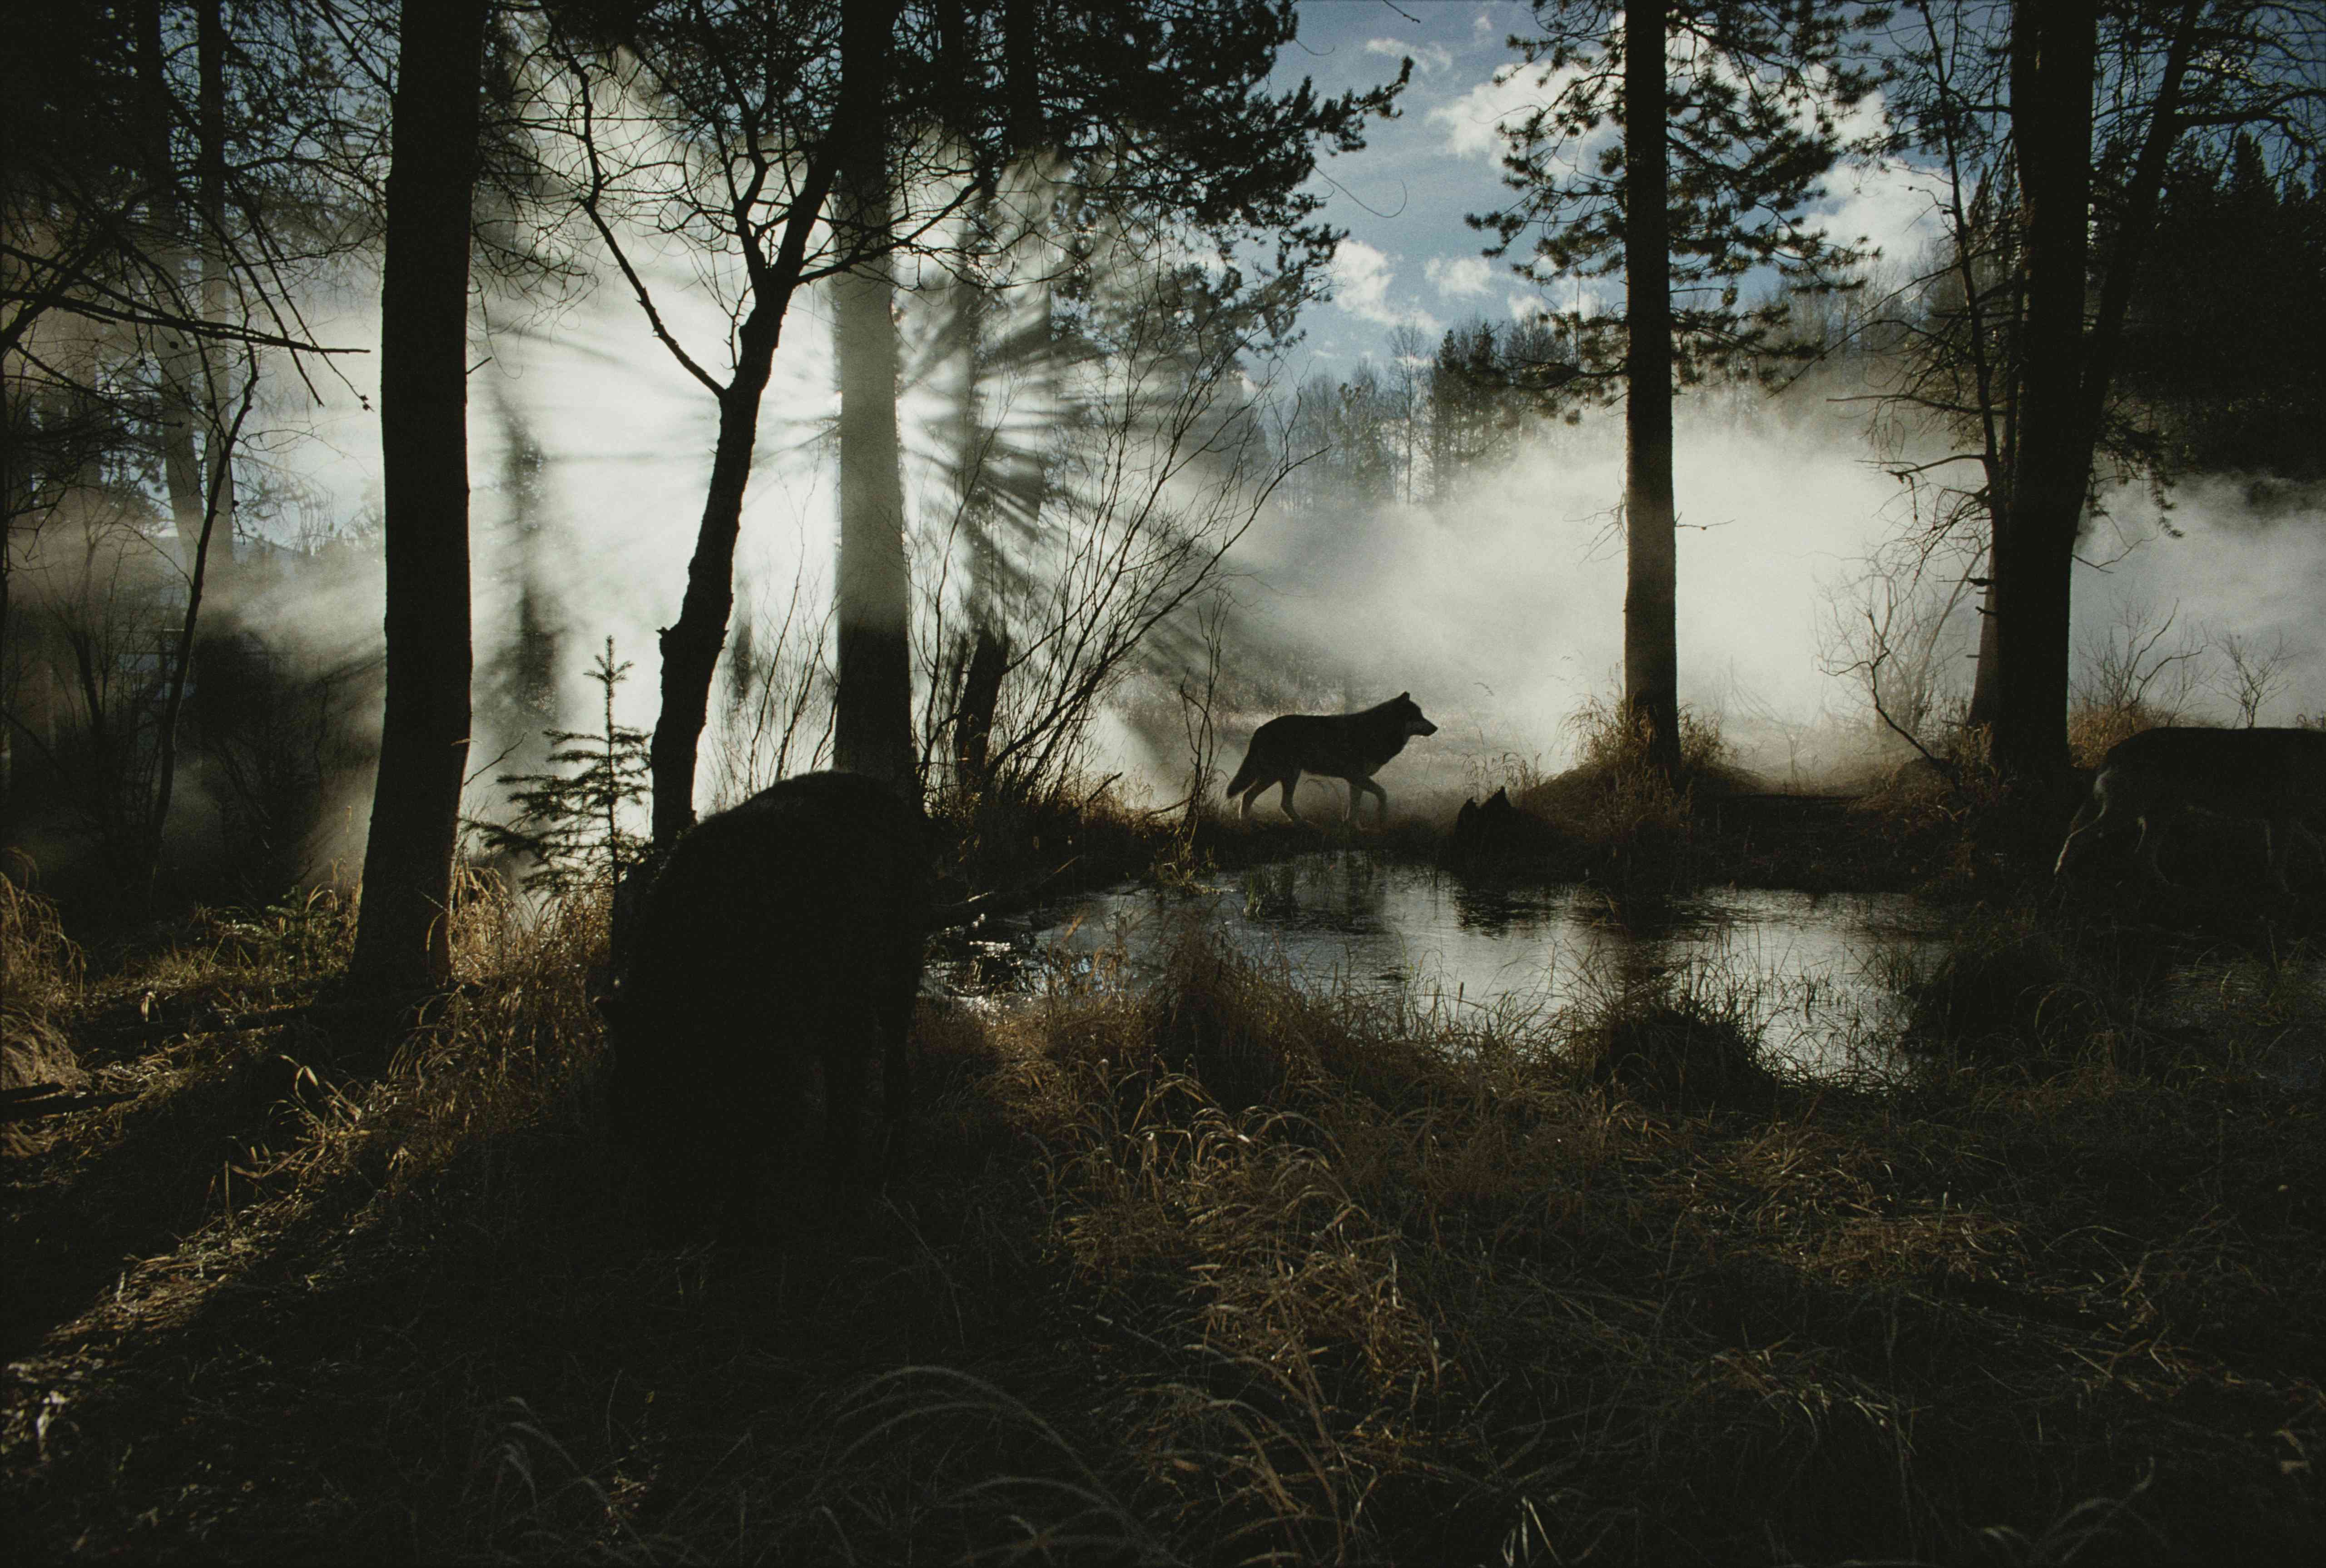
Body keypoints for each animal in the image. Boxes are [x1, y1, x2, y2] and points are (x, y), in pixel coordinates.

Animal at [605, 763, 930, 1228]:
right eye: (633, 1123)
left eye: (680, 1113)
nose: (671, 1221)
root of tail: (889, 796)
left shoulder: (782, 1038)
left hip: (893, 976)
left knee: (889, 1069)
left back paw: (878, 1162)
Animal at [1219, 689, 1433, 824]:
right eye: (1418, 716)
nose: (1436, 728)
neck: (1377, 731)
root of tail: (1261, 729)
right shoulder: (1356, 777)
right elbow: (1382, 794)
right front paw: (1381, 816)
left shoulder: (1356, 781)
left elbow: (1355, 808)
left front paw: (1354, 828)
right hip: (1281, 774)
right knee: (1255, 796)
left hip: (1285, 775)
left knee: (1271, 800)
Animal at [2056, 725, 2326, 884]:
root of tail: (2114, 749)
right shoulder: (2282, 821)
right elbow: (2279, 863)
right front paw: (2283, 896)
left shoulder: (2286, 820)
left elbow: (2314, 846)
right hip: (2127, 812)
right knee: (2078, 838)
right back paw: (2062, 875)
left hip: (2161, 815)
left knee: (2142, 856)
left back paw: (2167, 888)